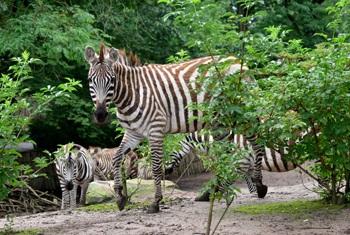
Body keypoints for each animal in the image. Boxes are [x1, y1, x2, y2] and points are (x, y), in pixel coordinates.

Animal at [83, 42, 258, 213]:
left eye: (112, 80)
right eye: (90, 80)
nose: (100, 114)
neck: (133, 93)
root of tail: (237, 60)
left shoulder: (155, 129)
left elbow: (155, 167)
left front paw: (155, 202)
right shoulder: (133, 132)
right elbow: (117, 157)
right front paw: (120, 197)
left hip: (240, 111)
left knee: (255, 139)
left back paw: (258, 184)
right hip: (220, 122)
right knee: (226, 153)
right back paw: (218, 191)